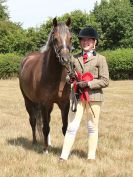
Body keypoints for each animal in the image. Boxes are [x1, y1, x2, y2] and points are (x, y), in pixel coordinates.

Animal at [18, 17, 71, 152]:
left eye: (71, 38)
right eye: (55, 38)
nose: (65, 59)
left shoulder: (64, 104)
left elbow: (65, 127)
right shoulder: (43, 104)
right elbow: (45, 128)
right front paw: (45, 149)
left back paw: (49, 143)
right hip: (28, 101)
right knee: (33, 121)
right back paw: (35, 142)